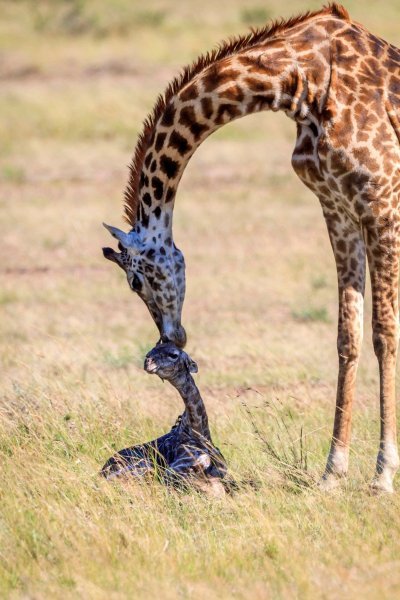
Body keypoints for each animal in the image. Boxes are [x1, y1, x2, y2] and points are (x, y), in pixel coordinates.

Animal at [102, 4, 400, 490]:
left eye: (134, 281)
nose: (170, 339)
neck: (301, 79)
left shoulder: (382, 203)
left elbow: (384, 333)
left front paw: (382, 477)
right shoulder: (337, 207)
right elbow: (348, 335)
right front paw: (333, 473)